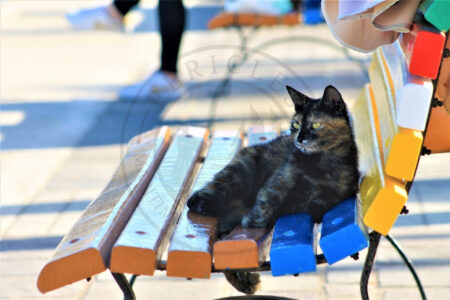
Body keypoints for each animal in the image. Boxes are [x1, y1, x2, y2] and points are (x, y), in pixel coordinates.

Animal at [186, 85, 358, 296]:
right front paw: (254, 221)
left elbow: (323, 201)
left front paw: (311, 204)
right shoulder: (281, 178)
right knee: (201, 198)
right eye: (295, 125)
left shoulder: (344, 189)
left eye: (315, 125)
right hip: (240, 170)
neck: (319, 164)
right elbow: (266, 200)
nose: (299, 139)